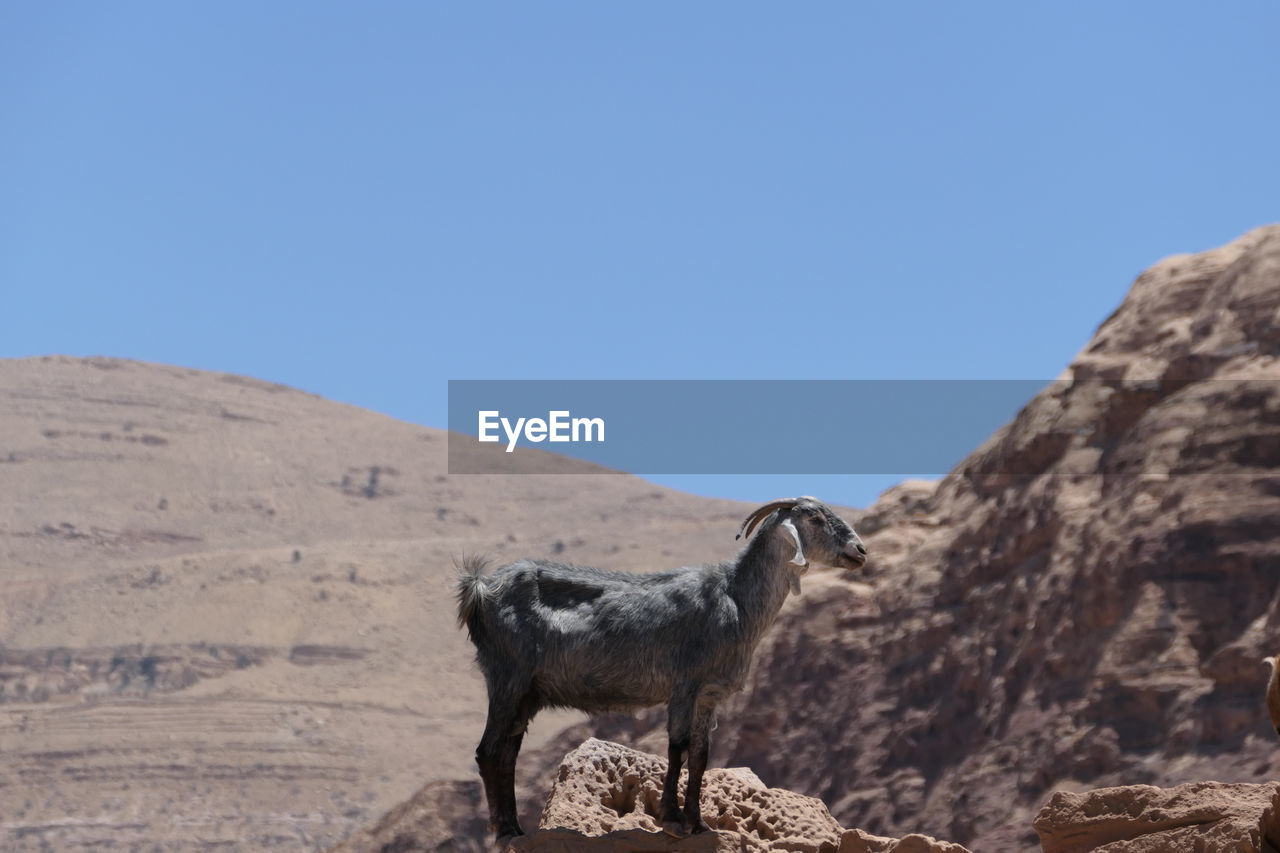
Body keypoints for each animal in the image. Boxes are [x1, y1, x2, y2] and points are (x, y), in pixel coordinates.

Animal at [455, 494, 865, 840]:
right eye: (815, 517)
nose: (859, 550)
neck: (734, 600)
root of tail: (481, 588)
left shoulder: (708, 696)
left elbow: (700, 754)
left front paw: (698, 822)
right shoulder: (684, 684)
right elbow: (677, 746)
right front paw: (672, 819)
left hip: (528, 692)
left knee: (507, 752)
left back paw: (515, 827)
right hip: (507, 676)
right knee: (488, 751)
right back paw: (505, 830)